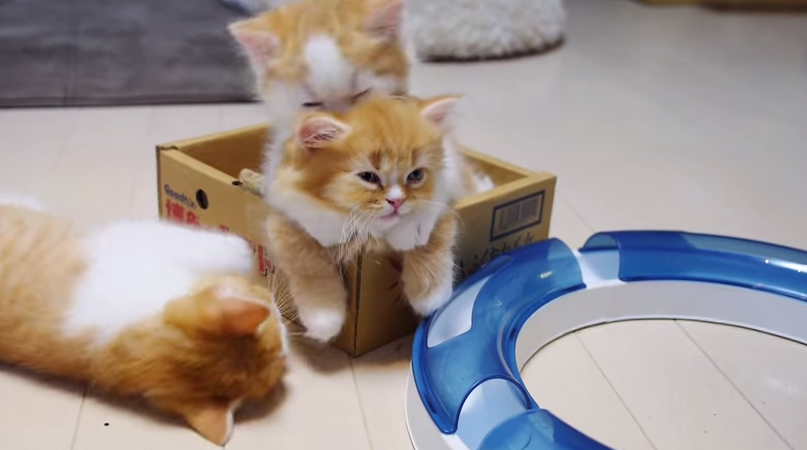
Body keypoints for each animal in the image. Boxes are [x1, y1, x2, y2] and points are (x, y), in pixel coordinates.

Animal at [262, 93, 492, 342]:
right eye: (368, 177)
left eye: (416, 175)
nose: (397, 201)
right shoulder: (283, 216)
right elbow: (308, 262)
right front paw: (323, 318)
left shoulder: (444, 196)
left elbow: (433, 235)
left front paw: (431, 295)